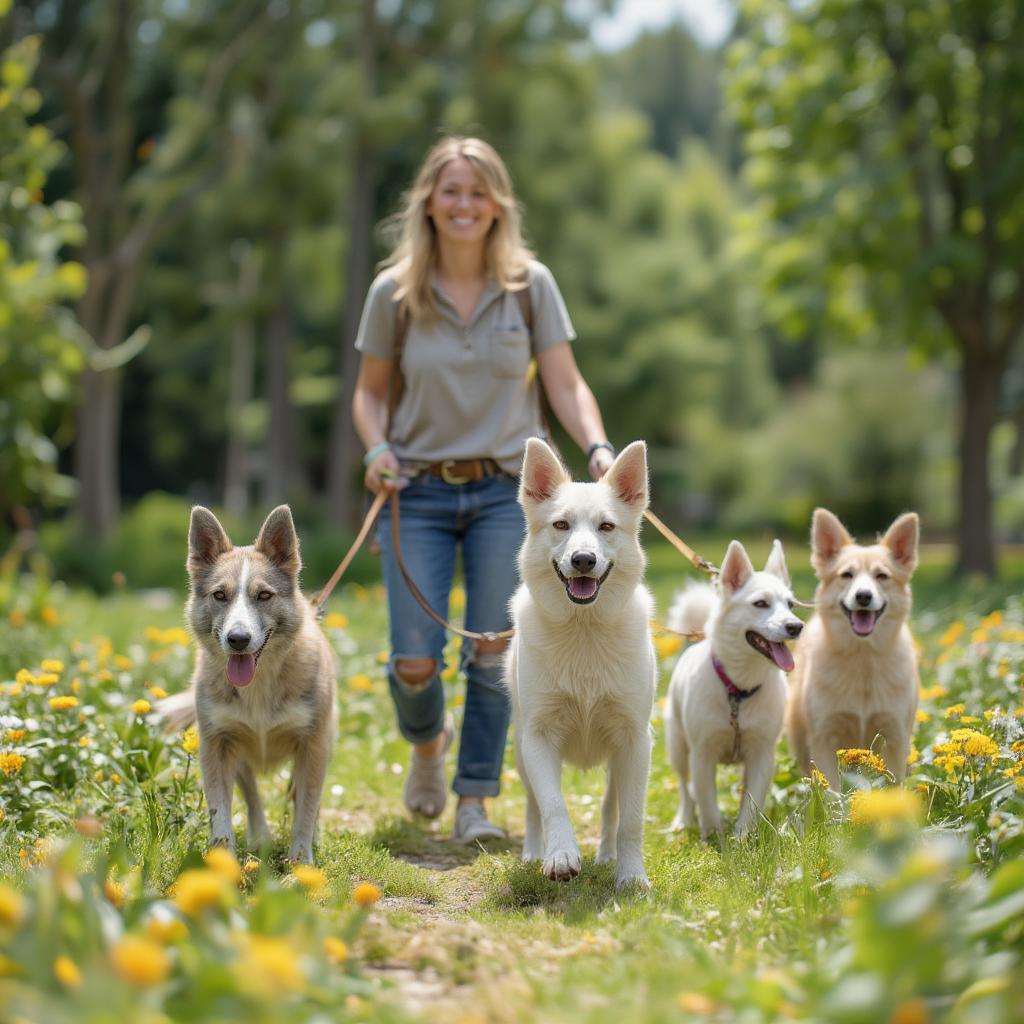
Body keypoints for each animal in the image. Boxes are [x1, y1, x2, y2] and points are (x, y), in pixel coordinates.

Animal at [159, 505, 335, 864]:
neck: (260, 683)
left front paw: (302, 860)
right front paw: (221, 858)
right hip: (238, 753)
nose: (237, 639)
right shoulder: (216, 743)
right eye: (220, 595)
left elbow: (306, 807)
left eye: (264, 595)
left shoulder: (313, 744)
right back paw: (260, 837)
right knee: (252, 794)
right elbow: (220, 809)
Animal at [505, 438, 655, 888]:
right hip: (521, 751)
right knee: (533, 805)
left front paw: (631, 876)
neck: (584, 630)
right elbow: (553, 805)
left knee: (610, 808)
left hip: (618, 762)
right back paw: (533, 853)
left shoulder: (635, 741)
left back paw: (607, 857)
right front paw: (560, 857)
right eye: (561, 525)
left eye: (606, 527)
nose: (584, 560)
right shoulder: (538, 738)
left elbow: (631, 821)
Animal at [667, 540, 802, 835]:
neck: (739, 690)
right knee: (684, 788)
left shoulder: (762, 754)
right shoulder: (702, 755)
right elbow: (706, 803)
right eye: (760, 604)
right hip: (678, 747)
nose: (796, 626)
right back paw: (683, 820)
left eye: (790, 605)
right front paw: (714, 838)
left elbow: (752, 802)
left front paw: (742, 836)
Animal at [782, 507, 921, 786]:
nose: (863, 596)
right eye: (847, 575)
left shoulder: (894, 737)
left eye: (882, 576)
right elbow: (831, 791)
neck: (863, 658)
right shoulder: (824, 737)